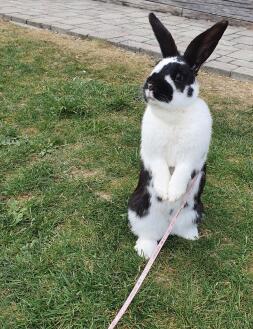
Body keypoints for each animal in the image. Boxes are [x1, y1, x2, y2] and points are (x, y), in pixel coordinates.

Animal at [127, 13, 228, 258]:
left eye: (179, 76)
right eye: (155, 66)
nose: (150, 84)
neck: (173, 115)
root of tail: (167, 227)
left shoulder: (192, 158)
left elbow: (181, 172)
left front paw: (173, 193)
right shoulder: (152, 154)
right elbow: (161, 169)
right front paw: (166, 192)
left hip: (195, 210)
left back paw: (191, 235)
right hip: (139, 209)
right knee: (147, 234)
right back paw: (145, 250)